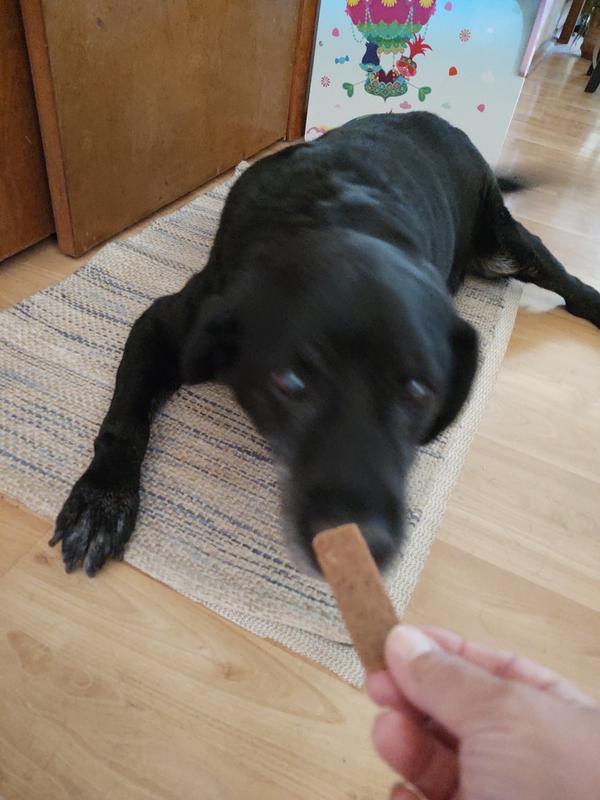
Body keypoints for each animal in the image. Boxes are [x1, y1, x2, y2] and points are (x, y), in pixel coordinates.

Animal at [51, 112, 600, 576]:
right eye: (290, 382)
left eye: (419, 390)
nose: (364, 547)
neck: (333, 218)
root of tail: (442, 122)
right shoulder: (162, 326)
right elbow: (124, 423)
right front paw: (101, 500)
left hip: (506, 241)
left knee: (564, 279)